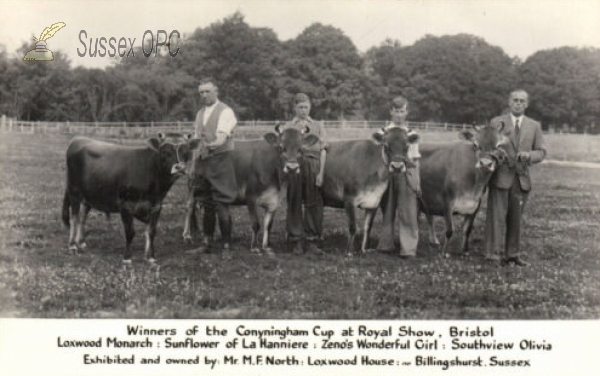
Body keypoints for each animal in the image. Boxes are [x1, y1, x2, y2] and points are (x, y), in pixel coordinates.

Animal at [62, 132, 196, 264]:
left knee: (82, 216)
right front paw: (127, 258)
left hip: (89, 194)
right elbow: (130, 232)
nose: (180, 167)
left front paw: (150, 257)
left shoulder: (157, 206)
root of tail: (78, 139)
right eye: (165, 151)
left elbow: (151, 231)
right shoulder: (126, 205)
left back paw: (81, 241)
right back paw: (72, 245)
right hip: (74, 191)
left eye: (186, 151)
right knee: (74, 218)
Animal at [183, 125, 318, 256]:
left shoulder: (274, 201)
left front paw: (266, 247)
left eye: (301, 149)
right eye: (281, 147)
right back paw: (187, 235)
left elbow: (268, 225)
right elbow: (255, 223)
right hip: (193, 185)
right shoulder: (250, 197)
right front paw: (254, 247)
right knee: (190, 207)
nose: (292, 167)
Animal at [322, 127, 420, 256]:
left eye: (407, 146)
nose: (397, 166)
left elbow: (367, 227)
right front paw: (349, 252)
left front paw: (364, 250)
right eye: (386, 146)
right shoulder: (349, 200)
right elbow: (353, 227)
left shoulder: (373, 203)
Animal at [418, 122, 510, 258]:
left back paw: (433, 240)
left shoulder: (475, 205)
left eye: (498, 146)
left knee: (429, 217)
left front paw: (465, 250)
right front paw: (444, 252)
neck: (474, 187)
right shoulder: (447, 201)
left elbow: (467, 229)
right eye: (476, 145)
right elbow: (449, 230)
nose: (485, 164)